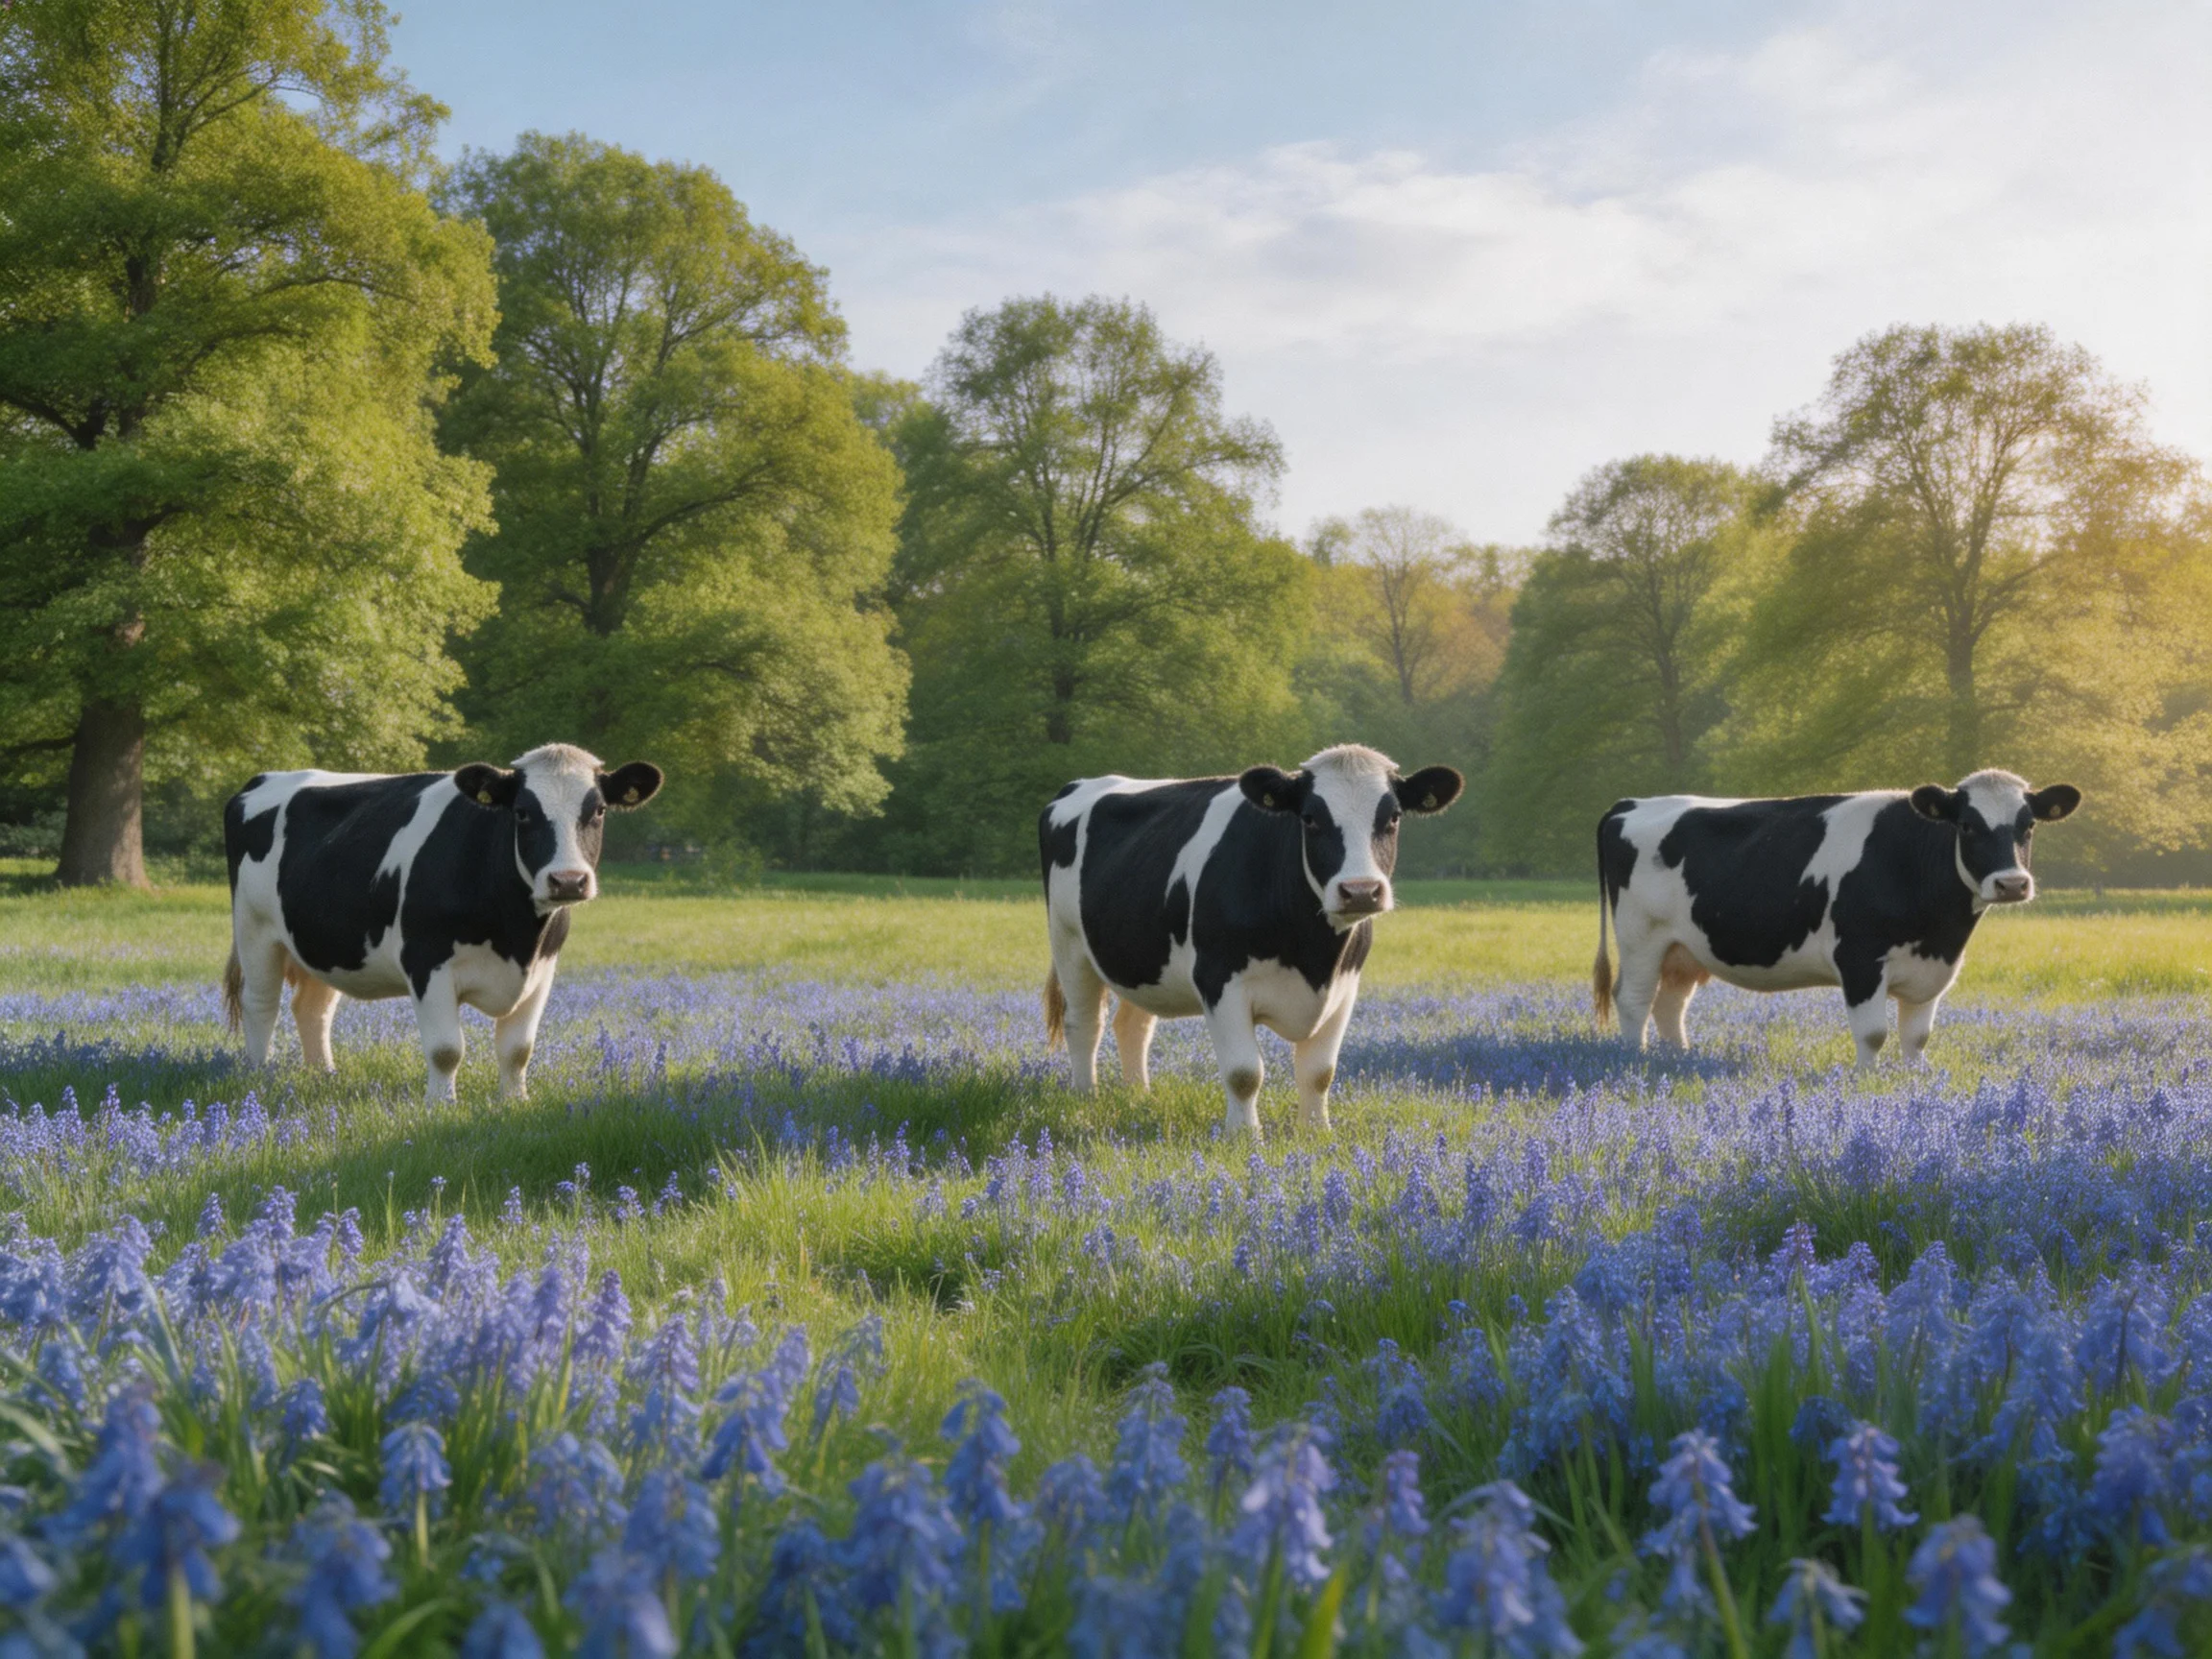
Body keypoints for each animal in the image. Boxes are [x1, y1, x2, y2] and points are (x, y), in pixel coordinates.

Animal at [221, 744, 663, 1101]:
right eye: (522, 813)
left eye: (598, 811)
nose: (568, 880)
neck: (516, 935)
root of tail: (265, 777)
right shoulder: (427, 961)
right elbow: (447, 1048)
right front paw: (441, 1105)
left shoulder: (543, 969)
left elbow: (518, 1050)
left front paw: (515, 1102)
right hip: (254, 929)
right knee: (261, 1003)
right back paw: (259, 1075)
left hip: (326, 944)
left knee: (313, 1009)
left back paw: (323, 1075)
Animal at [1041, 744, 1464, 1138]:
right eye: (1310, 818)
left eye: (1393, 817)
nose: (1360, 891)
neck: (1314, 956)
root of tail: (1079, 784)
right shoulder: (1219, 980)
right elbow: (1244, 1072)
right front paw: (1244, 1135)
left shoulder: (1346, 986)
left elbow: (1320, 1072)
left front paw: (1316, 1131)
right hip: (1069, 943)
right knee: (1084, 1024)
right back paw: (1086, 1098)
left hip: (1143, 957)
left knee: (1133, 1025)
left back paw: (1139, 1097)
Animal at [1592, 768, 2081, 1068]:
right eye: (1966, 826)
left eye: (2028, 826)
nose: (2012, 884)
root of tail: (1631, 802)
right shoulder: (1860, 958)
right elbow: (1874, 1034)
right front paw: (1867, 1081)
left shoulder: (1931, 968)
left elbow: (1916, 1037)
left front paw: (1916, 1079)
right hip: (1640, 936)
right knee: (1633, 999)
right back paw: (1635, 1061)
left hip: (1684, 948)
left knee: (1670, 1005)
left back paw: (1678, 1059)